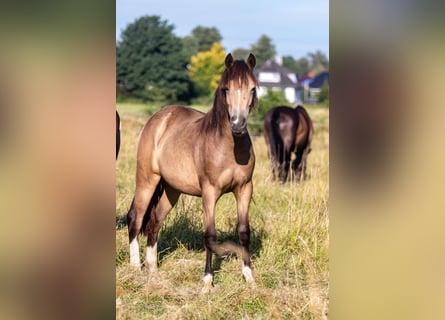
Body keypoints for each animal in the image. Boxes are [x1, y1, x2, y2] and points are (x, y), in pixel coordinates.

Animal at [125, 53, 256, 292]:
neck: (228, 147)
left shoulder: (244, 189)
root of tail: (158, 119)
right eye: (226, 89)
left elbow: (243, 231)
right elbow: (210, 235)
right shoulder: (209, 192)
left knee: (155, 221)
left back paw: (153, 270)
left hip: (171, 190)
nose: (238, 125)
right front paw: (207, 282)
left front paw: (249, 277)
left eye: (252, 88)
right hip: (147, 180)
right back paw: (135, 268)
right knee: (136, 218)